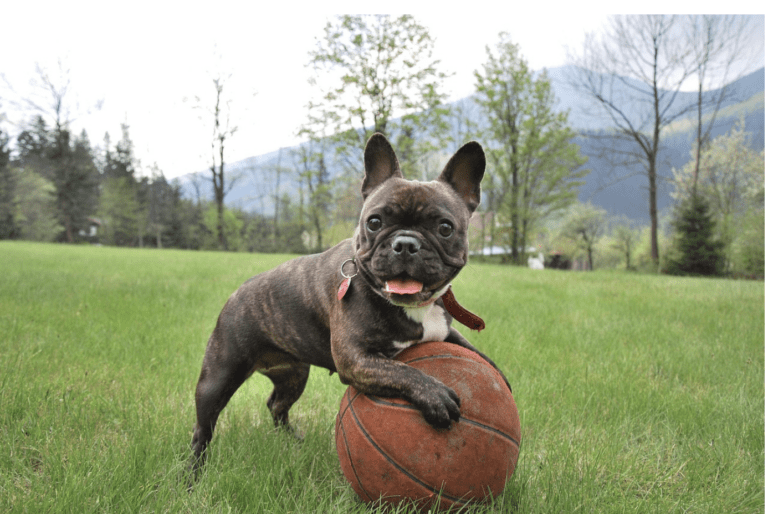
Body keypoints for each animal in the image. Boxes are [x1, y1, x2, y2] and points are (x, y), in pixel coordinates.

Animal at [189, 133, 508, 476]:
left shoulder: (443, 332)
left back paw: (293, 441)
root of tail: (236, 294)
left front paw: (499, 375)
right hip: (219, 377)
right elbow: (401, 371)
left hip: (293, 376)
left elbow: (475, 353)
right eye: (375, 222)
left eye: (445, 228)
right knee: (203, 429)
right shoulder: (356, 359)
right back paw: (193, 474)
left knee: (276, 405)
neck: (413, 306)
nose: (405, 244)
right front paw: (435, 395)